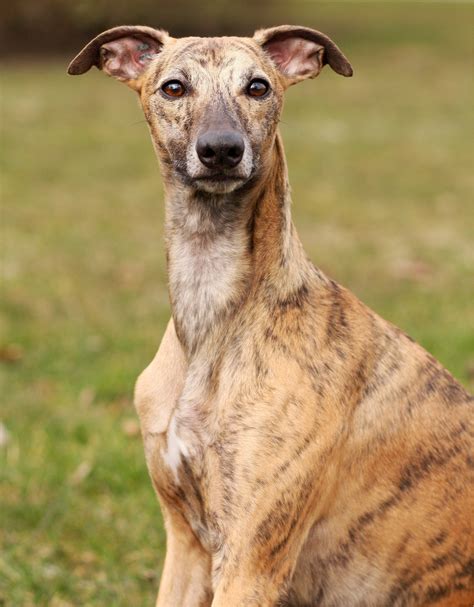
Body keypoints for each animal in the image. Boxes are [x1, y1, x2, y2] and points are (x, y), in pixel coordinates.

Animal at [68, 25, 472, 607]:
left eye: (257, 86)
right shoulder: (186, 543)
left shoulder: (251, 560)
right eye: (173, 87)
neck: (217, 319)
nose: (220, 149)